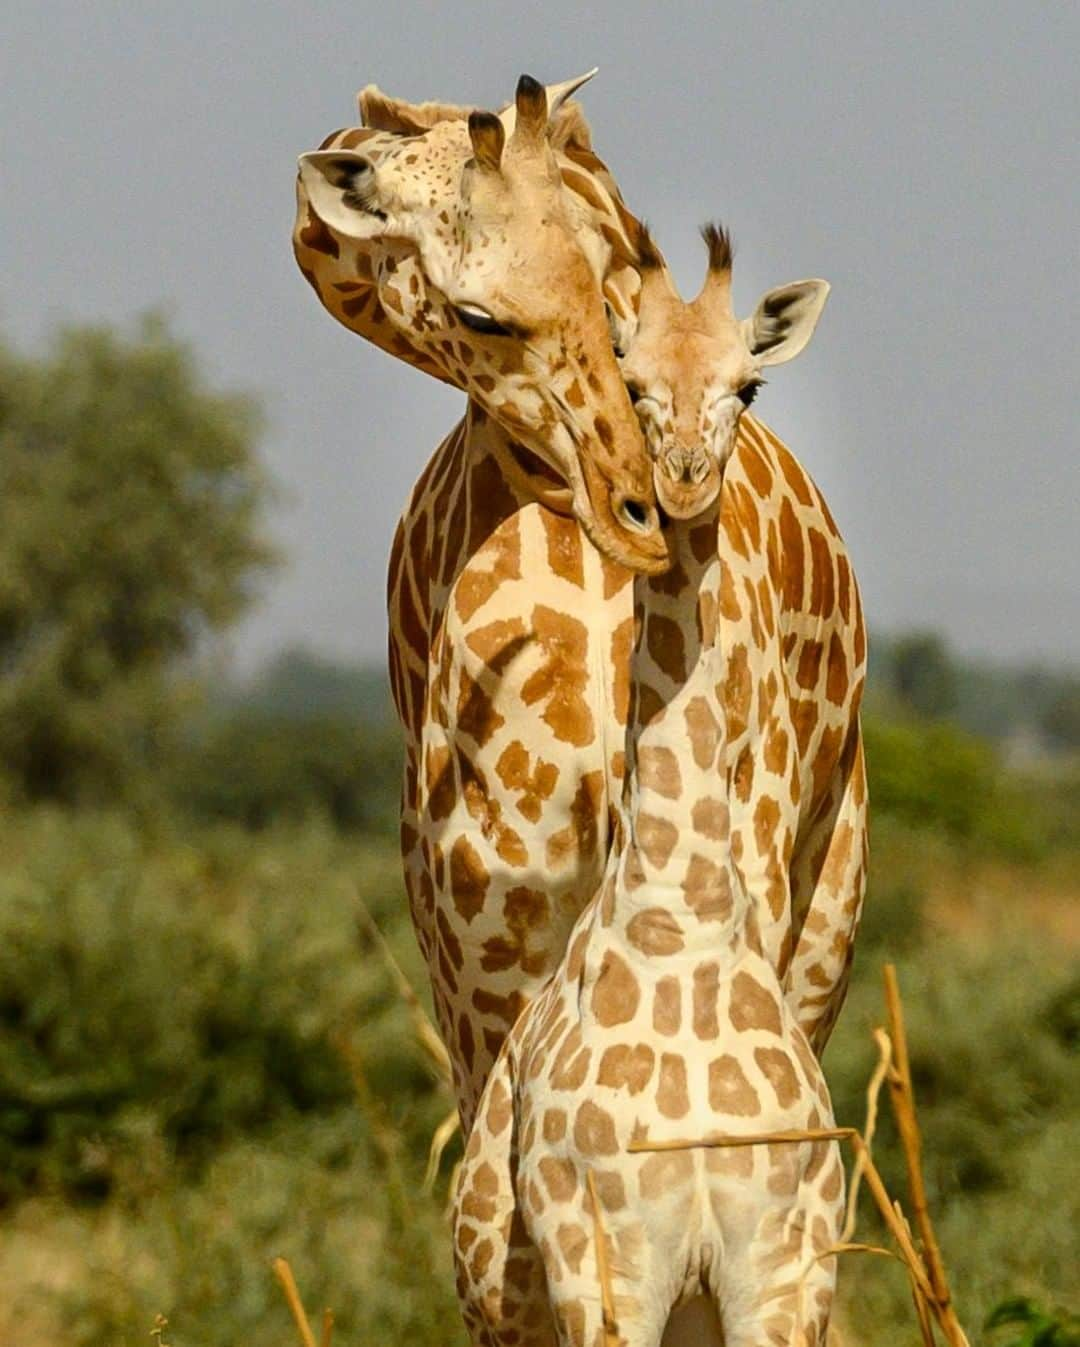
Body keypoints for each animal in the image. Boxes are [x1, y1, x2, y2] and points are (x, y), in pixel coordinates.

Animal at [455, 247, 840, 1341]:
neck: (686, 912)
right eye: (629, 383)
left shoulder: (784, 1266)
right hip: (508, 1297)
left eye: (748, 386)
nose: (682, 480)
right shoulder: (605, 1261)